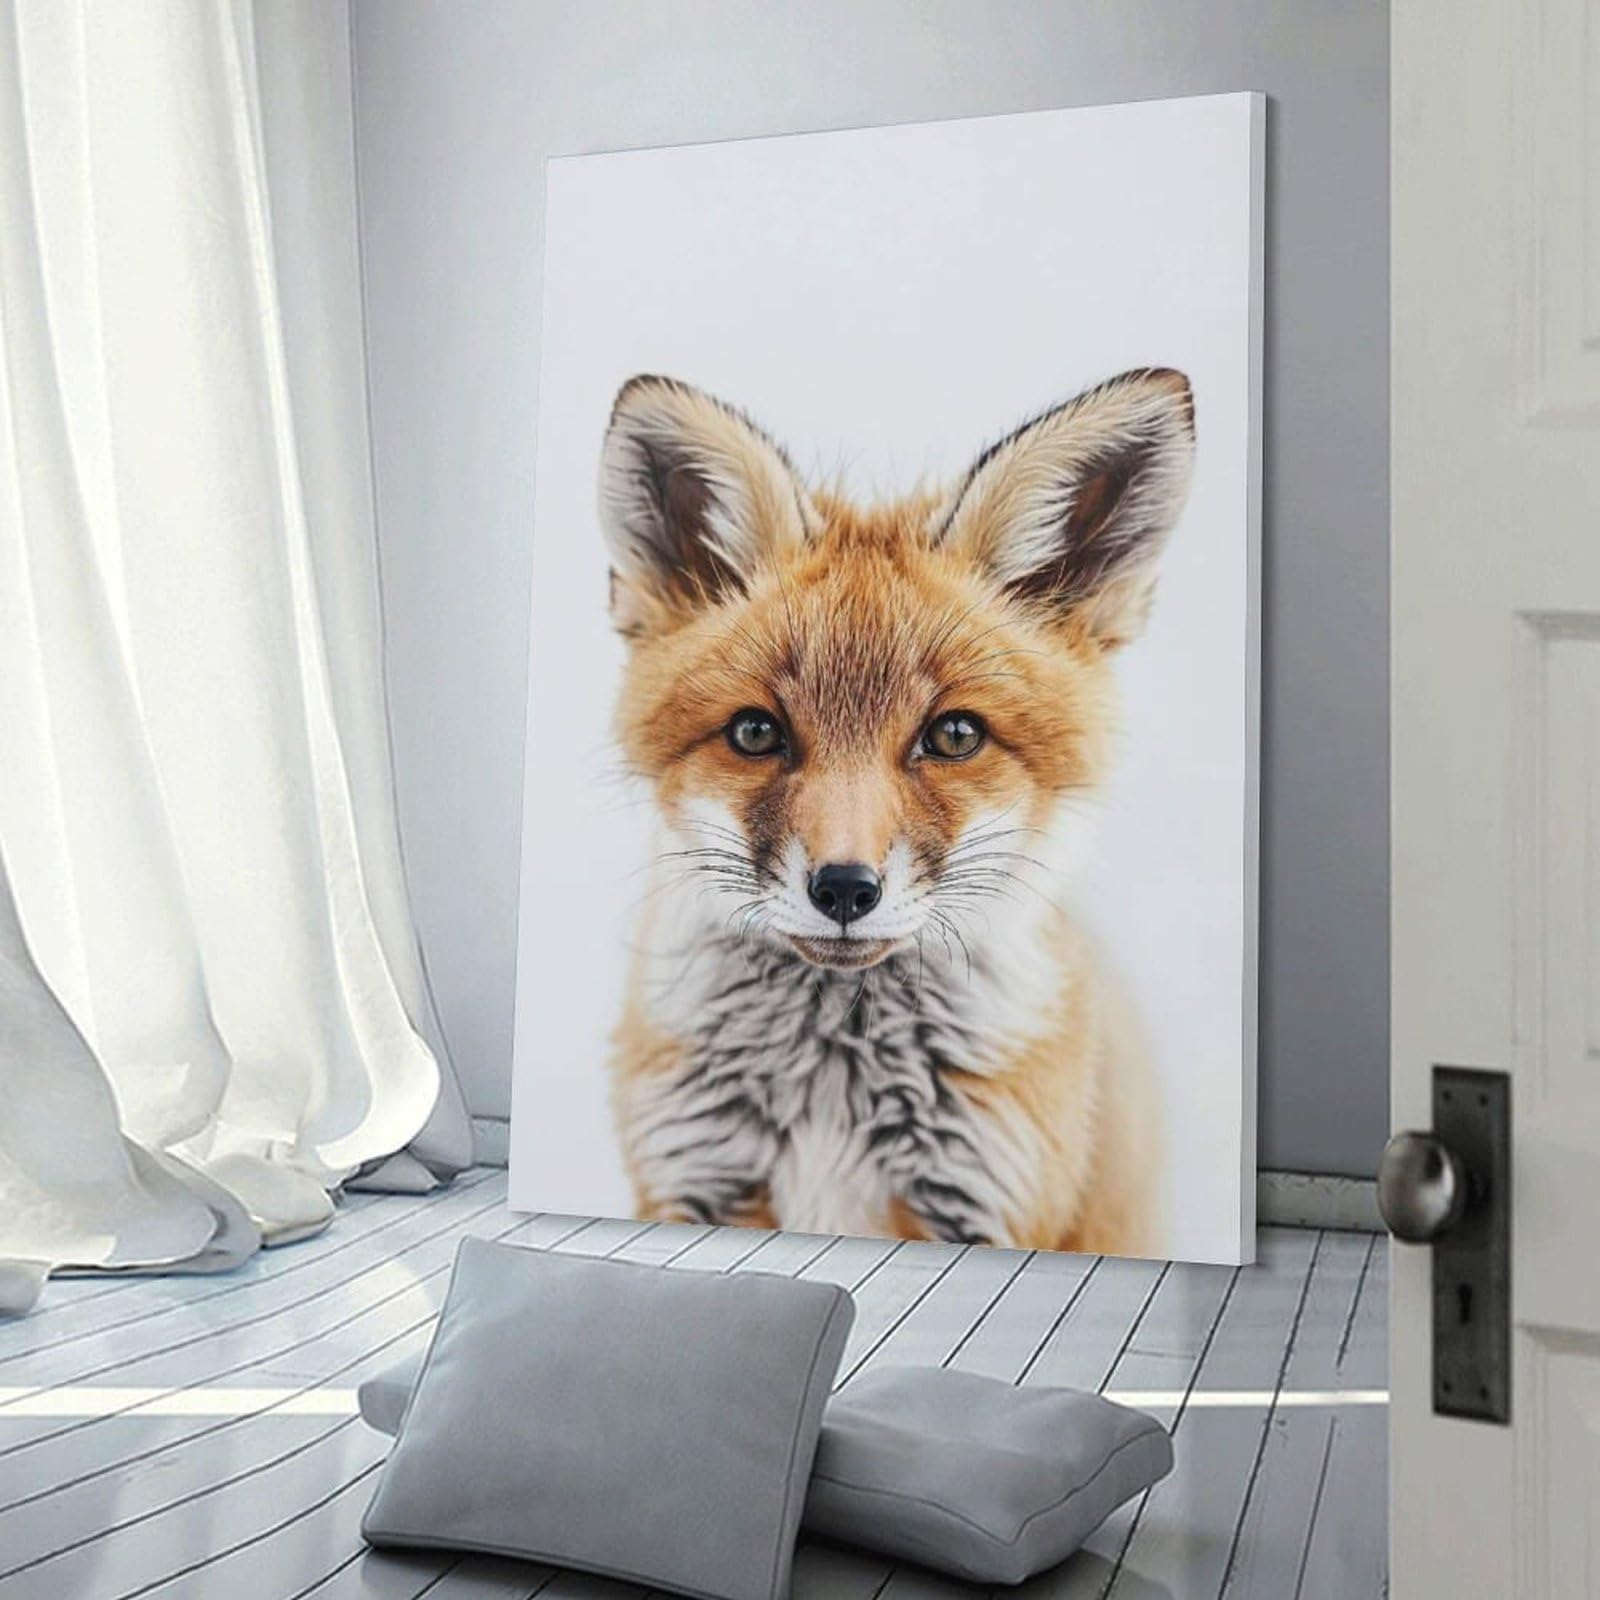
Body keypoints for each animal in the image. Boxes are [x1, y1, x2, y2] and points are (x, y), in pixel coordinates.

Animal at [597, 366, 1196, 1255]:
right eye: (755, 732)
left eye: (953, 735)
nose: (845, 889)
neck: (830, 1088)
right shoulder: (693, 1175)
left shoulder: (979, 1197)